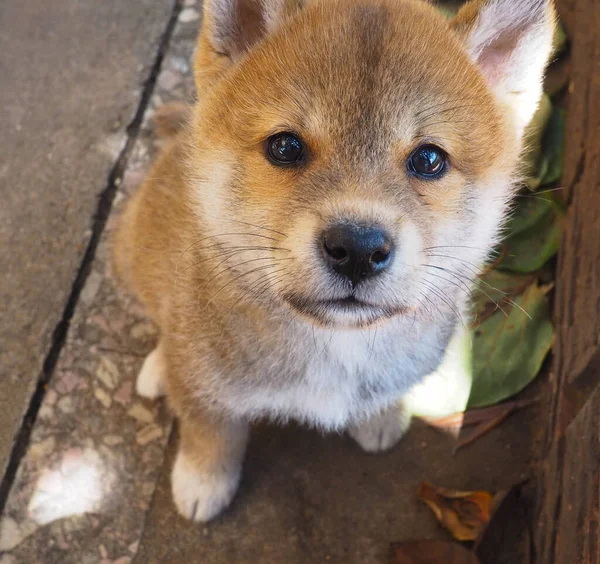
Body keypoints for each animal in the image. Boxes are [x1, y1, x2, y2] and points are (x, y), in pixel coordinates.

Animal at [111, 0, 552, 524]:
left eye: (429, 159)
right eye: (285, 147)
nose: (358, 248)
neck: (336, 346)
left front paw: (381, 416)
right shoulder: (205, 385)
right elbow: (210, 430)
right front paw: (202, 481)